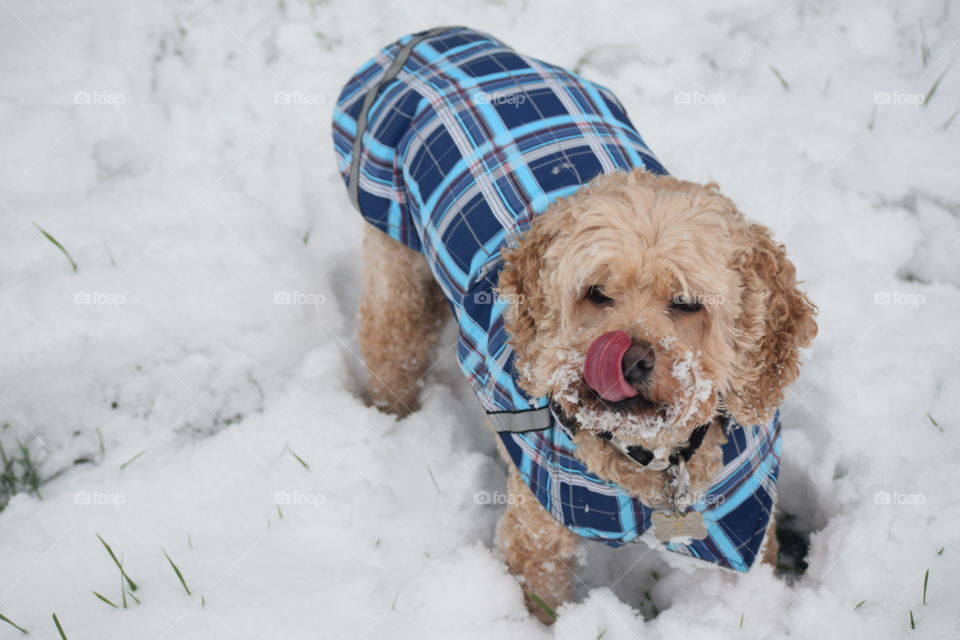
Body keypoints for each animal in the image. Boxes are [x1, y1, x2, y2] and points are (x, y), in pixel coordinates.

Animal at [332, 27, 816, 624]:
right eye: (597, 293)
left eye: (686, 304)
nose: (627, 357)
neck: (650, 458)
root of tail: (433, 36)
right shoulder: (539, 530)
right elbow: (540, 590)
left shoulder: (744, 512)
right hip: (395, 255)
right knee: (390, 346)